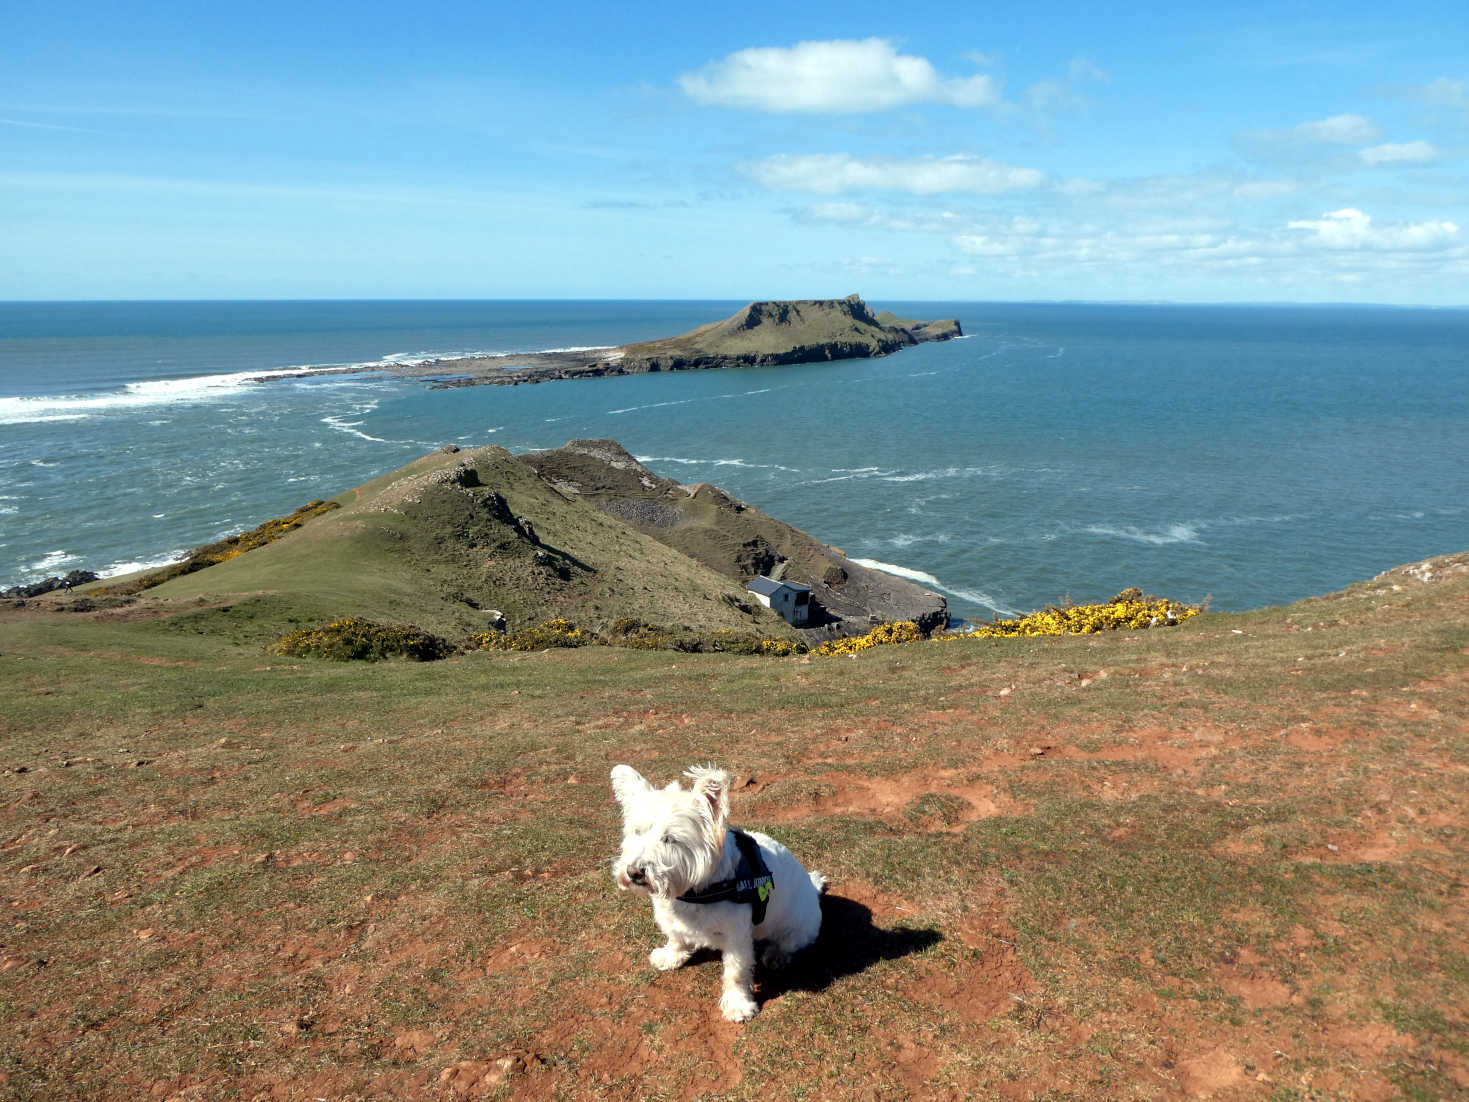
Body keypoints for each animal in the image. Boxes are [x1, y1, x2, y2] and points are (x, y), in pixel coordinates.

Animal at [608, 764, 828, 1022]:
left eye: (669, 839)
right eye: (637, 832)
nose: (633, 872)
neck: (694, 892)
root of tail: (812, 888)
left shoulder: (737, 937)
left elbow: (736, 972)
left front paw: (738, 1004)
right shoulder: (671, 918)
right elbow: (675, 938)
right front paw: (671, 956)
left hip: (798, 927)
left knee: (789, 943)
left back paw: (776, 955)